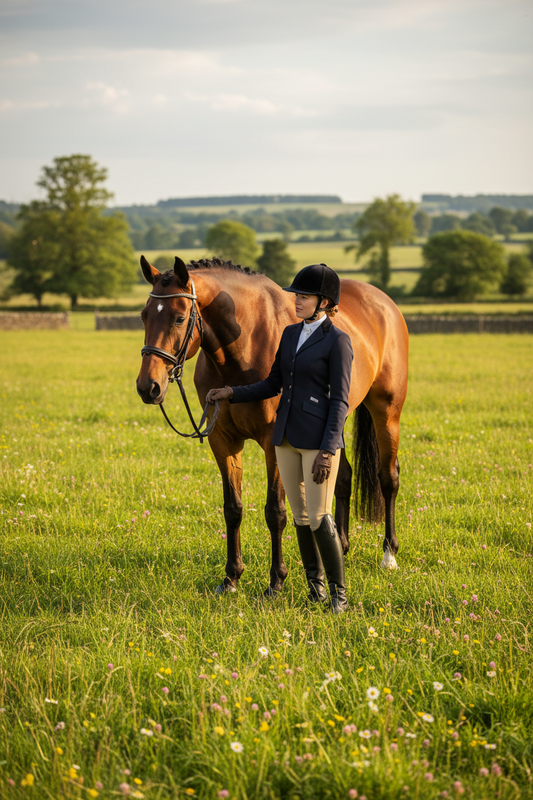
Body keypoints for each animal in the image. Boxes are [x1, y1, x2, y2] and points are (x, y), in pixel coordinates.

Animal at [136, 255, 409, 596]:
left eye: (179, 318)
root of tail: (384, 302)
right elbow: (233, 507)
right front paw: (231, 577)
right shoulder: (222, 441)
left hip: (387, 413)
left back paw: (389, 555)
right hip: (335, 420)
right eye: (144, 316)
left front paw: (276, 581)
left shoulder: (275, 442)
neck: (244, 344)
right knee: (342, 477)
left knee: (389, 479)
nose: (148, 387)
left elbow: (275, 511)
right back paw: (342, 548)